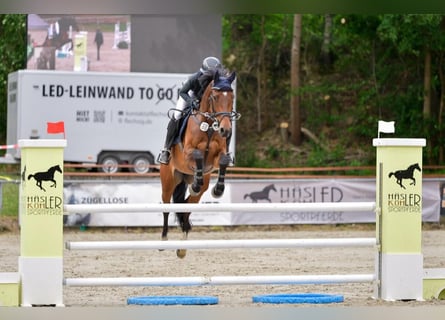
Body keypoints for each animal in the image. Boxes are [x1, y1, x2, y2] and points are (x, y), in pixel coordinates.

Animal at [160, 69, 239, 258]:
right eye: (215, 97)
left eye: (232, 98)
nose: (226, 130)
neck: (209, 125)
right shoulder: (187, 152)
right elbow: (196, 154)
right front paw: (197, 182)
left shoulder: (216, 157)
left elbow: (223, 160)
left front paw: (218, 190)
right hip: (168, 181)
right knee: (166, 206)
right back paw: (163, 240)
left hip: (194, 188)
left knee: (187, 207)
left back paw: (182, 248)